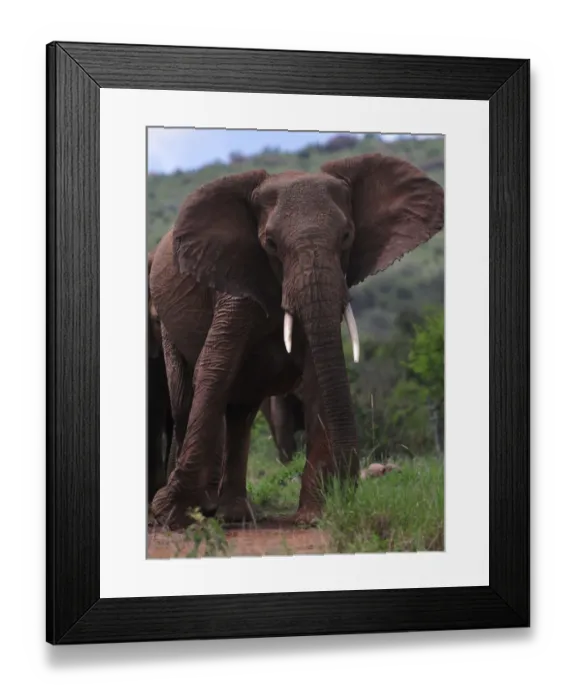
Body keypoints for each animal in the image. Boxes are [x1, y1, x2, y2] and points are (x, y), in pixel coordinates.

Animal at [148, 153, 444, 529]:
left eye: (347, 236)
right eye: (270, 244)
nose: (348, 485)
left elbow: (318, 375)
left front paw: (313, 517)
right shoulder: (235, 280)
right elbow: (214, 368)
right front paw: (169, 516)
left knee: (242, 411)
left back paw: (233, 515)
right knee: (186, 396)